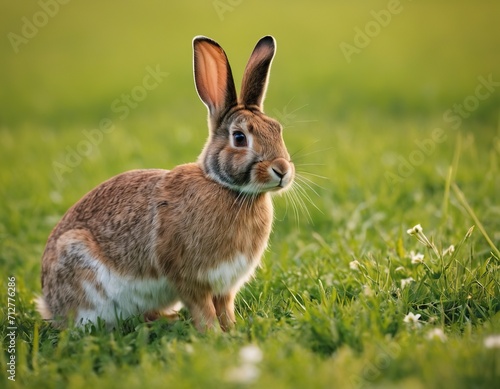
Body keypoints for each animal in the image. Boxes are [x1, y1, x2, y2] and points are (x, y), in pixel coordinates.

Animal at [37, 35, 294, 330]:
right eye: (239, 138)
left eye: (277, 129)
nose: (282, 170)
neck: (228, 188)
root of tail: (49, 302)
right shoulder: (189, 278)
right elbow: (204, 310)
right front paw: (213, 334)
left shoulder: (225, 286)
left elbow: (225, 308)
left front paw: (232, 330)